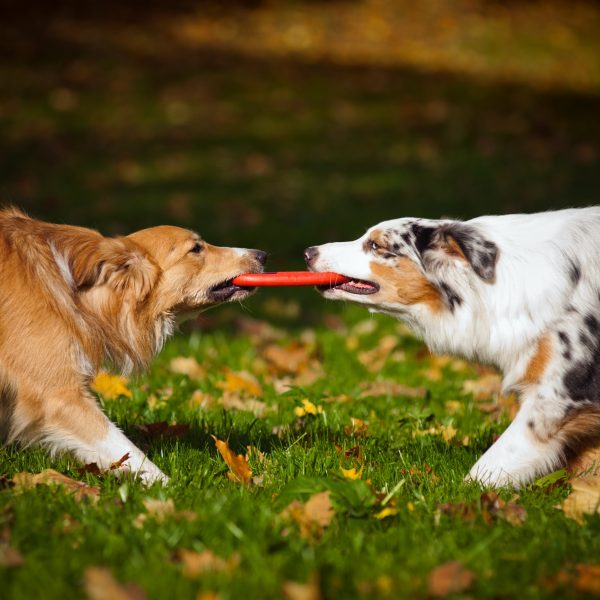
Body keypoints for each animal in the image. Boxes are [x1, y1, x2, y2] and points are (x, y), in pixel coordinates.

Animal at [0, 206, 264, 482]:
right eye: (196, 248)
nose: (263, 255)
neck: (81, 294)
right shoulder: (58, 393)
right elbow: (126, 449)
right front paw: (167, 486)